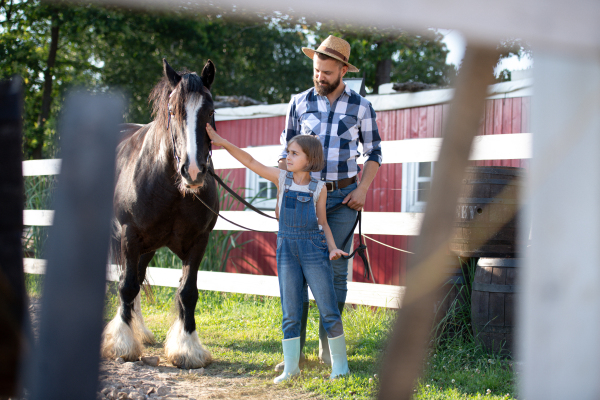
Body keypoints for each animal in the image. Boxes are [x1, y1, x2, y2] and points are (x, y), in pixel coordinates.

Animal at [100, 57, 218, 368]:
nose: (193, 171)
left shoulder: (199, 240)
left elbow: (187, 292)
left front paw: (187, 347)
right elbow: (127, 286)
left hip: (148, 247)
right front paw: (122, 345)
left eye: (210, 110)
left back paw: (139, 329)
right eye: (172, 110)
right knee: (126, 282)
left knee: (137, 278)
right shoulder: (130, 234)